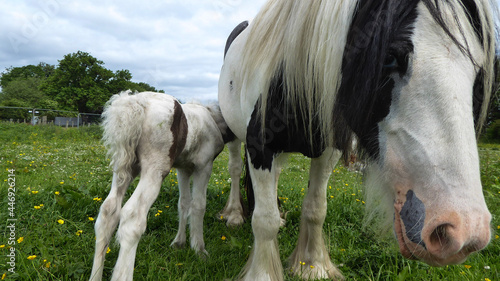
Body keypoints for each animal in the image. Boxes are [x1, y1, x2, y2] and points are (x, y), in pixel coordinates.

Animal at [219, 1, 496, 278]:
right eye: (388, 57)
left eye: (477, 70)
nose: (463, 231)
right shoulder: (260, 147)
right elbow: (264, 221)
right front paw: (263, 274)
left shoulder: (327, 152)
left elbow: (315, 209)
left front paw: (312, 266)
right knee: (235, 169)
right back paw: (233, 214)